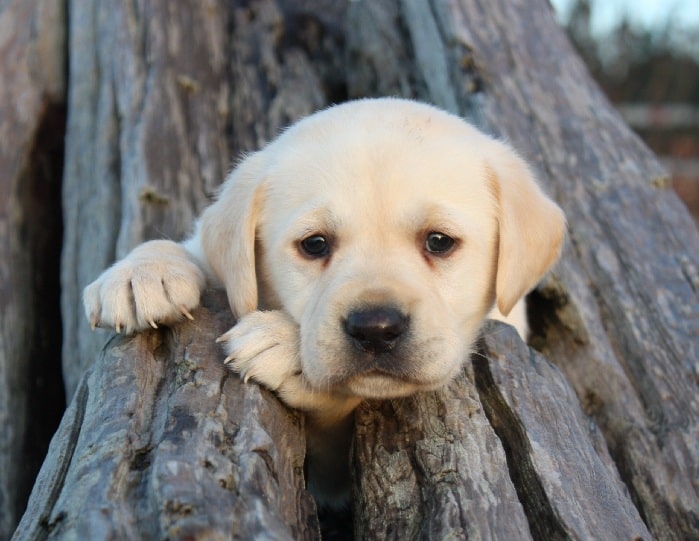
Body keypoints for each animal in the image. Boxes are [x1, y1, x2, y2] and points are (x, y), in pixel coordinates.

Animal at [85, 98, 568, 506]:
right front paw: (143, 271)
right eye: (314, 245)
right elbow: (195, 248)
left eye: (439, 241)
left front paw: (285, 346)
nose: (376, 329)